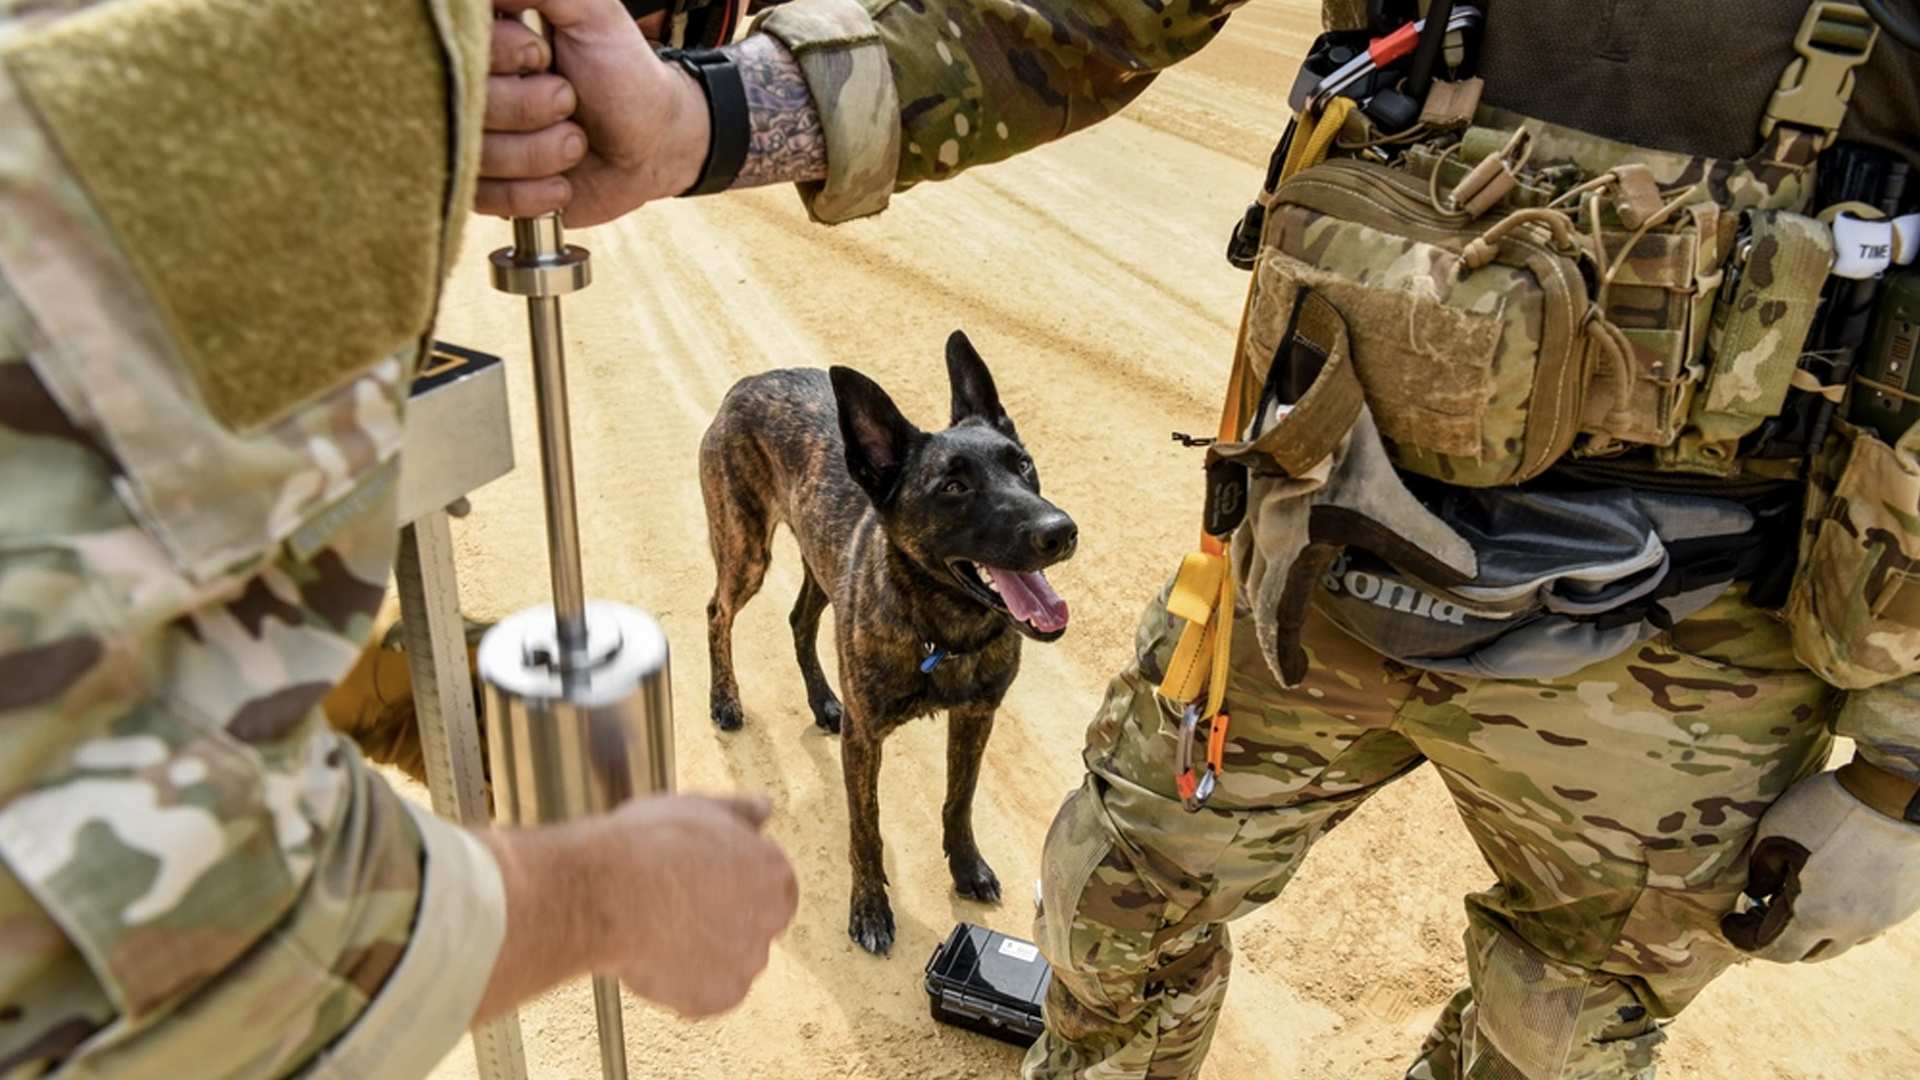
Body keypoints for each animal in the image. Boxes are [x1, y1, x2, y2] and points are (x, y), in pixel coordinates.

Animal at [698, 330, 1075, 949]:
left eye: (1024, 465)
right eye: (953, 486)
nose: (1062, 531)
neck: (942, 631)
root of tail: (749, 383)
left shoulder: (976, 716)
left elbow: (959, 801)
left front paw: (966, 868)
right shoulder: (865, 739)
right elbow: (865, 829)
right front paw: (870, 910)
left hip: (820, 562)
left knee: (800, 621)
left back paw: (824, 700)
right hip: (746, 550)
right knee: (717, 612)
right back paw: (724, 698)